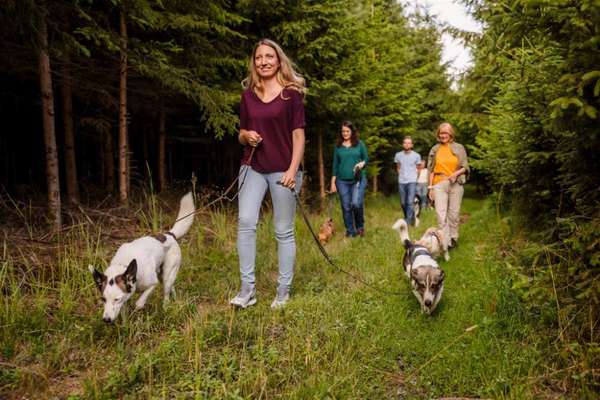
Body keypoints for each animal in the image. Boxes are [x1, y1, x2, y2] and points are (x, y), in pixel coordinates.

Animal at [88, 192, 195, 324]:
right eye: (103, 299)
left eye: (117, 299)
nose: (106, 320)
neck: (124, 265)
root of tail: (169, 235)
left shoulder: (152, 284)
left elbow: (139, 303)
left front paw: (137, 309)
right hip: (164, 273)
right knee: (171, 287)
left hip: (166, 274)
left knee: (166, 292)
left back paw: (165, 307)